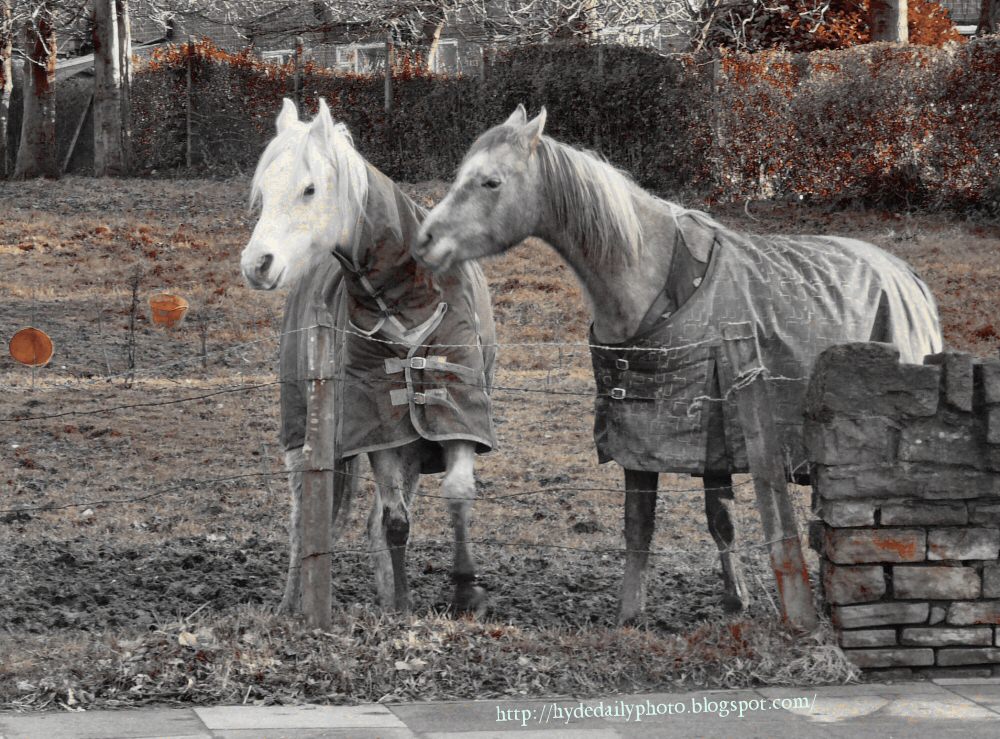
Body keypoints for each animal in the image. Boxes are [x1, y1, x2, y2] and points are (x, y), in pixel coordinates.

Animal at [239, 99, 496, 620]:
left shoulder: (453, 416)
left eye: (309, 188)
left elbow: (454, 497)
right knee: (304, 521)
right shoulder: (380, 430)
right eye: (264, 190)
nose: (256, 264)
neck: (405, 296)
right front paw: (403, 604)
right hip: (304, 432)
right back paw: (293, 602)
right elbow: (395, 521)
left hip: (414, 444)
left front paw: (464, 593)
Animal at [410, 104, 940, 624]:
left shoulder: (709, 432)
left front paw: (735, 602)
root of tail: (908, 278)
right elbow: (639, 524)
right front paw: (632, 613)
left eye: (491, 182)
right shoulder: (639, 435)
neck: (653, 278)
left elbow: (719, 519)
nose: (425, 240)